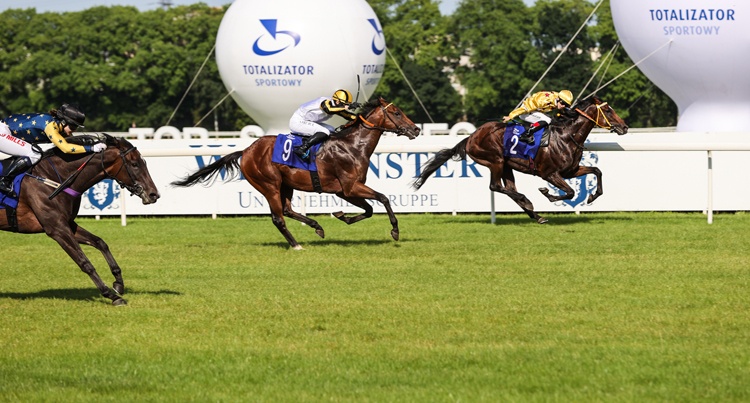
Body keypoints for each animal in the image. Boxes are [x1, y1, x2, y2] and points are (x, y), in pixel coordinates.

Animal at [0, 134, 160, 304]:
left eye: (144, 162)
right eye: (134, 164)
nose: (154, 194)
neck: (52, 179)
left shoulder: (67, 224)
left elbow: (100, 242)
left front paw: (118, 283)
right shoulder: (56, 229)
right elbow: (84, 262)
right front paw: (111, 295)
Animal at [173, 97, 426, 249]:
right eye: (396, 112)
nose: (416, 129)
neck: (353, 146)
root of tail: (246, 151)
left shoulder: (345, 191)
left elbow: (370, 209)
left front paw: (341, 215)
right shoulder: (350, 186)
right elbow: (383, 198)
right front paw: (395, 230)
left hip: (286, 184)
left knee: (287, 210)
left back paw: (317, 226)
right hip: (269, 184)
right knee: (278, 217)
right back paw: (296, 244)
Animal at [414, 96, 632, 226]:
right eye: (609, 110)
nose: (625, 127)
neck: (566, 136)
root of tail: (471, 136)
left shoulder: (571, 171)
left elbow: (597, 171)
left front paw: (592, 196)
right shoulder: (549, 173)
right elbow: (570, 192)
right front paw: (547, 194)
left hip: (507, 166)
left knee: (509, 188)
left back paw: (536, 214)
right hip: (495, 160)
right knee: (496, 186)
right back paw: (527, 201)